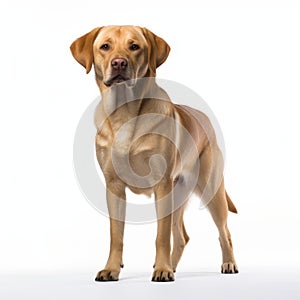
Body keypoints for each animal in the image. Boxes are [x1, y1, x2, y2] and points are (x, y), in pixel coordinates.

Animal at [69, 25, 237, 282]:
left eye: (134, 46)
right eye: (105, 46)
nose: (119, 63)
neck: (125, 113)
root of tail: (204, 118)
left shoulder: (162, 186)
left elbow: (161, 236)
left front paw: (162, 269)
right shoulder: (114, 187)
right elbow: (116, 235)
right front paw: (111, 268)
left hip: (210, 191)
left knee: (223, 231)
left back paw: (226, 264)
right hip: (178, 196)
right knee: (182, 236)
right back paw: (173, 266)